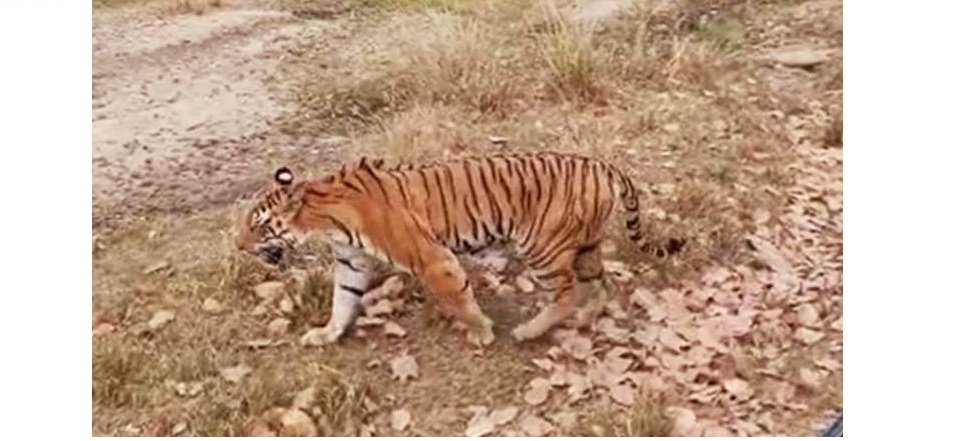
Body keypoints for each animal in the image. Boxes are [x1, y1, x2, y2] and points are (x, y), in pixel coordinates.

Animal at [233, 150, 680, 348]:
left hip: (542, 246)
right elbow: (342, 303)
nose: (238, 246)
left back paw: (528, 331)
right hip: (585, 246)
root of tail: (602, 164)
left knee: (568, 293)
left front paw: (482, 332)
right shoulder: (351, 264)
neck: (325, 219)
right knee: (601, 284)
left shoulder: (433, 258)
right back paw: (587, 318)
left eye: (257, 225)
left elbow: (459, 299)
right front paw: (326, 335)